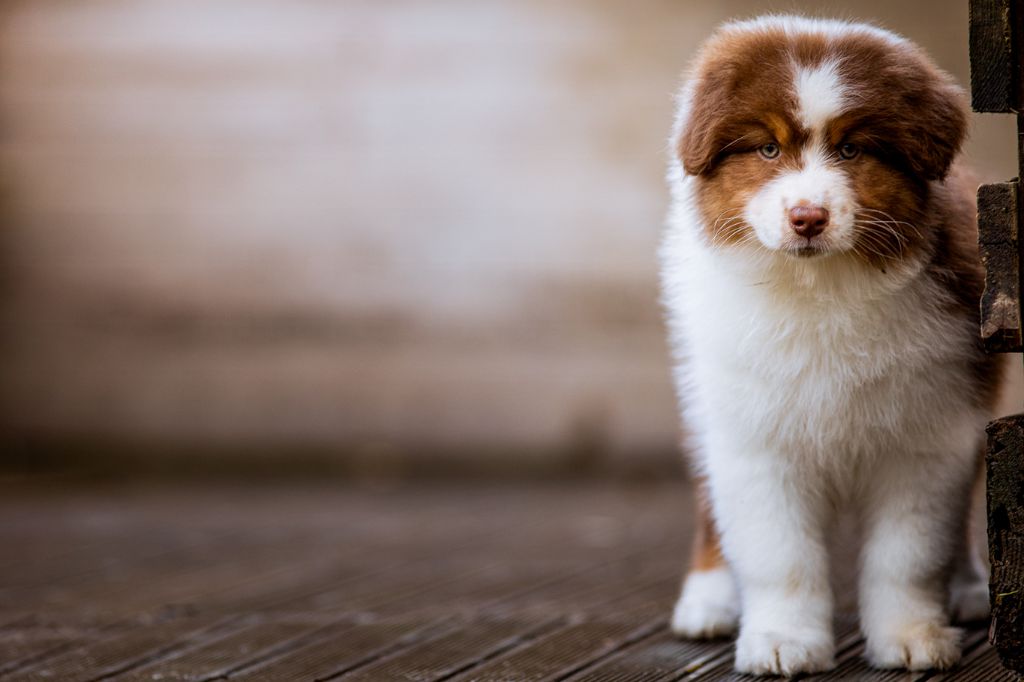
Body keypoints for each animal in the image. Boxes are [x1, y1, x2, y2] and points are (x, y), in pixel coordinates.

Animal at [659, 14, 1003, 675]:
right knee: (710, 506)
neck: (820, 287)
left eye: (850, 150)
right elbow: (778, 554)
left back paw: (972, 591)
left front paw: (911, 637)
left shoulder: (927, 435)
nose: (807, 217)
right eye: (768, 149)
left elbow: (908, 554)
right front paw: (782, 642)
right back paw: (707, 601)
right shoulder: (756, 439)